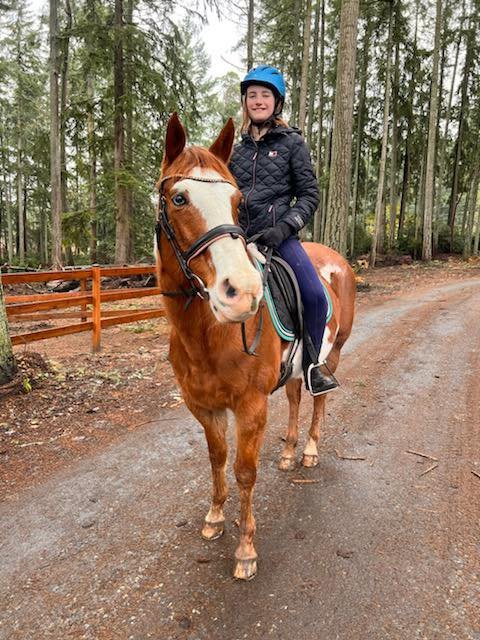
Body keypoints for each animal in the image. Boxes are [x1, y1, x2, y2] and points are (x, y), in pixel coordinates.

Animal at [155, 113, 356, 580]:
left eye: (236, 201)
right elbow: (216, 459)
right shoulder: (204, 407)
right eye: (178, 198)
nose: (242, 293)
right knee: (297, 396)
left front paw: (246, 550)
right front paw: (214, 518)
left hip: (334, 352)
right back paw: (287, 452)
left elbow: (244, 472)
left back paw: (309, 451)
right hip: (296, 366)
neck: (206, 335)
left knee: (319, 398)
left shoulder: (250, 406)